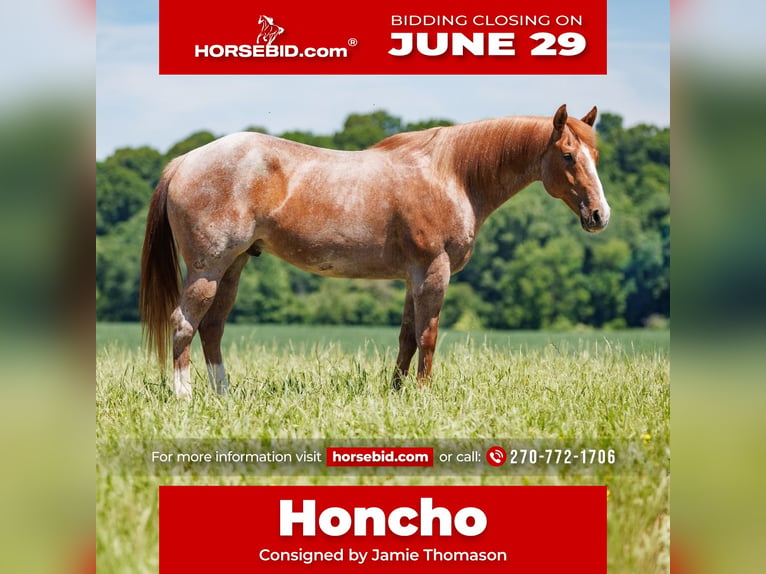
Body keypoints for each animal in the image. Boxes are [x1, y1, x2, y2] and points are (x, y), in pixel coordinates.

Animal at [140, 105, 610, 398]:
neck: (451, 175)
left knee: (212, 327)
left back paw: (223, 394)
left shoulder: (412, 277)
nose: (599, 215)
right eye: (568, 156)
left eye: (595, 154)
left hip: (233, 267)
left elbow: (406, 337)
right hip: (208, 267)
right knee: (184, 322)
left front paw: (397, 392)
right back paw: (184, 395)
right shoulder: (433, 272)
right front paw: (422, 394)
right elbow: (427, 336)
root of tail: (183, 162)